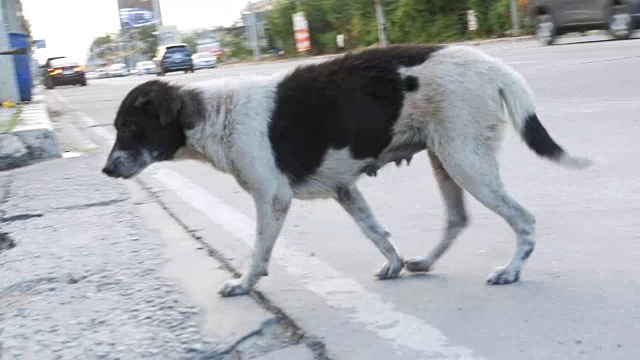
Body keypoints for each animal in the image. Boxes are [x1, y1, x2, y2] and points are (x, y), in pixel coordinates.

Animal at [102, 45, 592, 296]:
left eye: (130, 128)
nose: (106, 169)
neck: (214, 116)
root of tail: (494, 66)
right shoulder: (345, 189)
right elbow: (376, 232)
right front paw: (393, 263)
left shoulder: (272, 198)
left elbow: (258, 252)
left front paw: (243, 282)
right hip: (449, 159)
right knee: (457, 219)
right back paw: (424, 262)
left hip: (466, 161)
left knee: (523, 219)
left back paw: (511, 271)